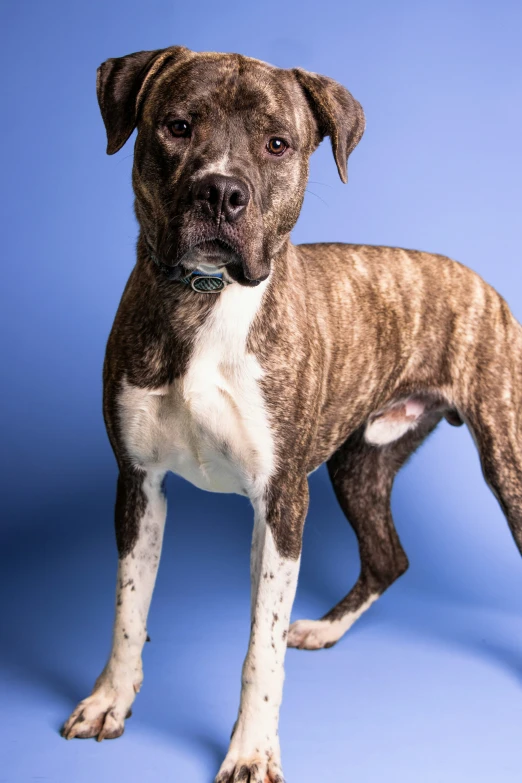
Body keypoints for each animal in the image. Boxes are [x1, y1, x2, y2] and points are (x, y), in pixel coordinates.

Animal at [62, 47, 520, 783]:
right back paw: (327, 628)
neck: (204, 299)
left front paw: (251, 748)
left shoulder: (280, 501)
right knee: (389, 557)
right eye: (178, 126)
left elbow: (260, 648)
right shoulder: (139, 483)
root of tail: (479, 280)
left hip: (506, 459)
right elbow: (129, 606)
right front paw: (111, 699)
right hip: (359, 465)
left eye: (278, 143)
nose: (221, 193)